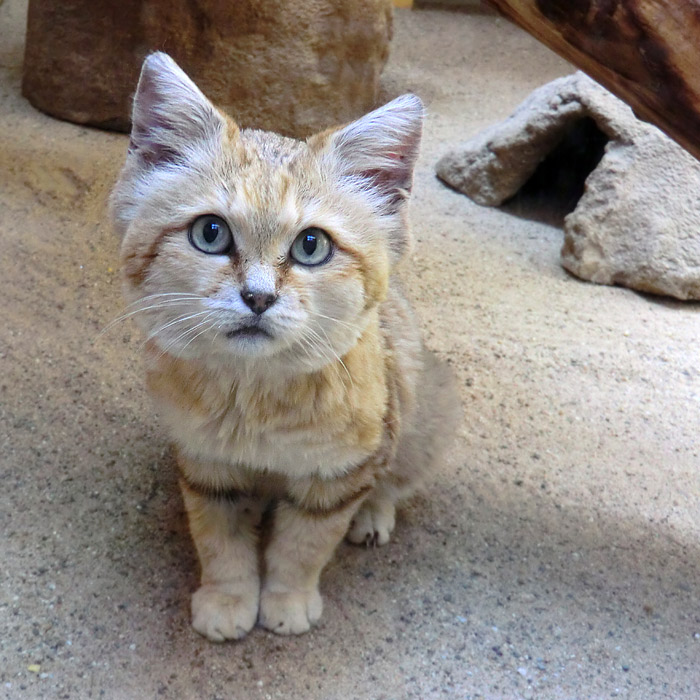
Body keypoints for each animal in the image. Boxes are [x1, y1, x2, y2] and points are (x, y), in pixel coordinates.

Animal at [111, 52, 456, 636]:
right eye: (210, 233)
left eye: (311, 246)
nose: (257, 297)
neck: (253, 397)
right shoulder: (205, 464)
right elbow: (218, 538)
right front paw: (228, 598)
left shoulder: (340, 474)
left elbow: (305, 545)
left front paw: (288, 601)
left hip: (424, 412)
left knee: (394, 479)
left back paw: (373, 515)